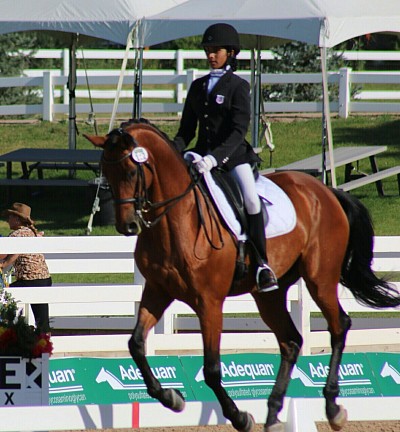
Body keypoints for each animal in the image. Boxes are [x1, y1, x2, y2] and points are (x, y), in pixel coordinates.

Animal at [84, 122, 400, 432]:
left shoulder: (209, 302)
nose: (127, 225)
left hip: (319, 279)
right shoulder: (157, 291)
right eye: (105, 174)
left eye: (130, 172)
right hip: (269, 294)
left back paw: (332, 408)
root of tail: (325, 190)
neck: (177, 221)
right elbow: (136, 344)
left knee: (339, 326)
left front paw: (239, 417)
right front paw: (171, 397)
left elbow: (212, 369)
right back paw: (273, 415)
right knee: (291, 341)